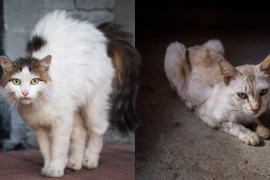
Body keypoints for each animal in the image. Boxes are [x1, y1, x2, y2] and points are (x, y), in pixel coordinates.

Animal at [0, 10, 141, 177]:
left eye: (35, 81)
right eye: (16, 81)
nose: (25, 93)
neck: (39, 104)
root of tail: (99, 33)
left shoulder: (62, 121)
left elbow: (59, 148)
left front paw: (55, 169)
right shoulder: (39, 126)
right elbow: (46, 149)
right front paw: (48, 167)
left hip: (94, 104)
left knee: (98, 129)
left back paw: (90, 160)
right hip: (74, 108)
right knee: (81, 132)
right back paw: (75, 162)